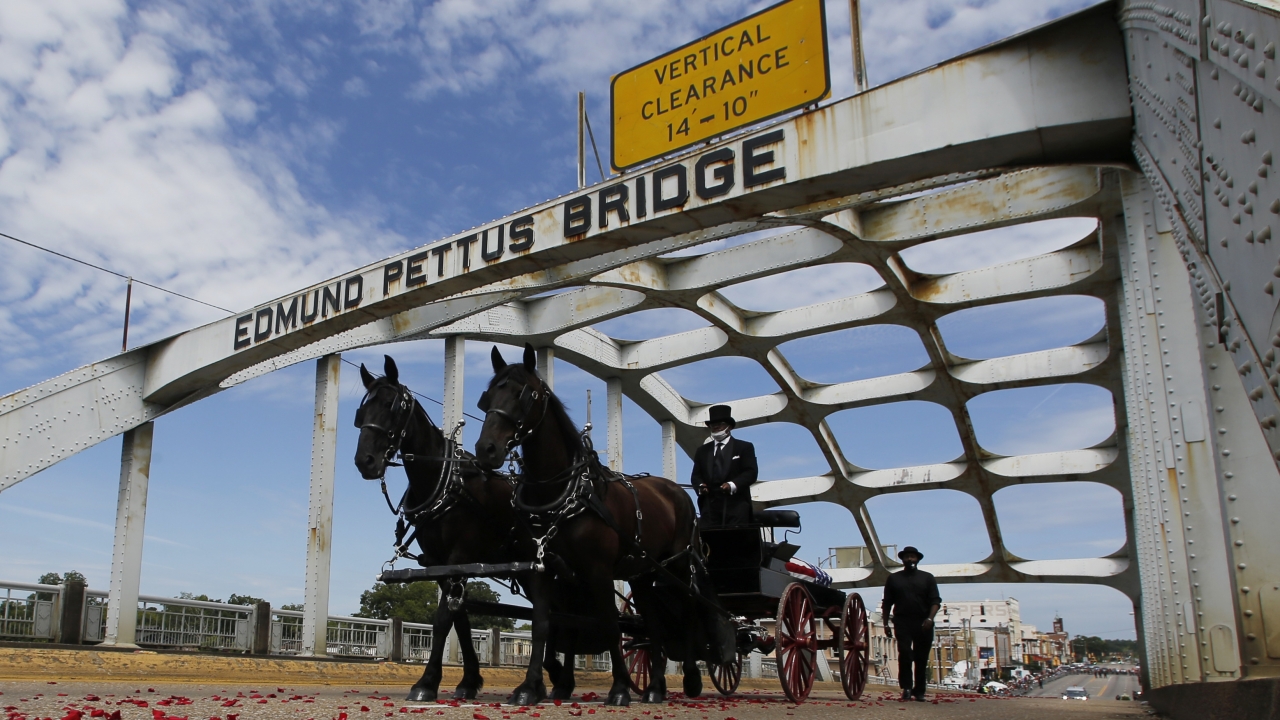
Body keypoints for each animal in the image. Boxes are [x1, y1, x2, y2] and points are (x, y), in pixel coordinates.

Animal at [473, 345, 737, 702]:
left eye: (523, 394)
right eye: (487, 397)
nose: (486, 449)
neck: (564, 491)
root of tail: (677, 492)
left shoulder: (598, 571)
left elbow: (610, 625)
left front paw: (620, 688)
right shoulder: (542, 569)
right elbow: (543, 624)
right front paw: (529, 687)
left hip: (678, 566)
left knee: (688, 613)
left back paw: (691, 679)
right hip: (643, 574)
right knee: (653, 624)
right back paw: (655, 686)